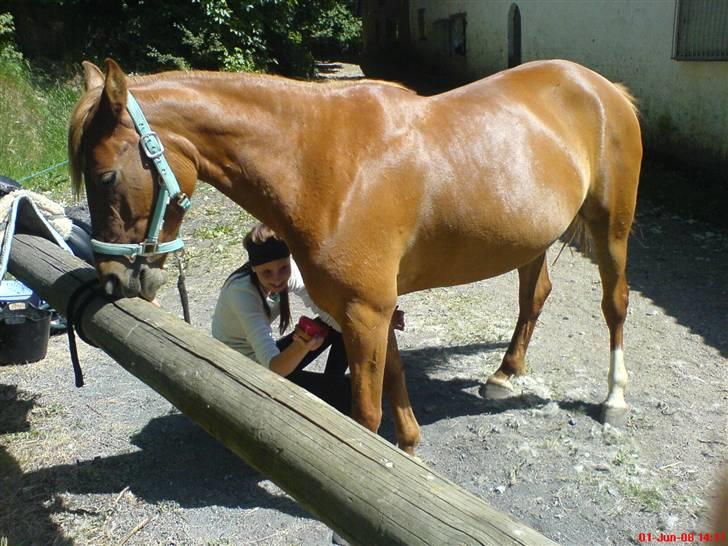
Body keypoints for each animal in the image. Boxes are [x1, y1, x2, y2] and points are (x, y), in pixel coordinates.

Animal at [68, 58, 640, 454]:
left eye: (106, 176)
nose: (113, 279)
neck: (324, 163)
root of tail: (601, 87)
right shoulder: (370, 309)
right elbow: (396, 380)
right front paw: (408, 451)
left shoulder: (365, 311)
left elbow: (364, 415)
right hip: (531, 240)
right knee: (534, 295)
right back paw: (504, 374)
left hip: (611, 229)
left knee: (614, 304)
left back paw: (614, 398)